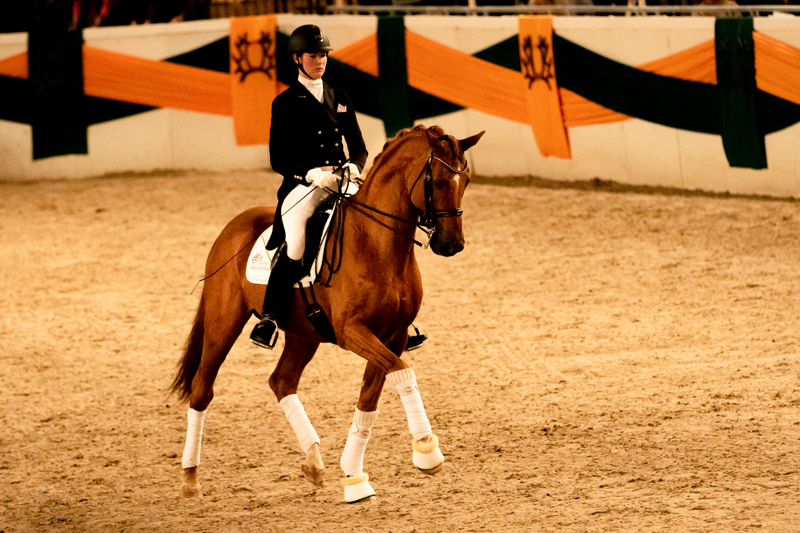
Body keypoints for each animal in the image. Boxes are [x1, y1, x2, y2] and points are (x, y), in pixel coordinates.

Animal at [166, 122, 484, 500]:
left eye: (466, 181)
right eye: (438, 183)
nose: (452, 245)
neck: (376, 243)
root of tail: (234, 225)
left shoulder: (393, 336)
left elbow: (370, 398)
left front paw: (354, 477)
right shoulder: (352, 332)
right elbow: (404, 373)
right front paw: (427, 452)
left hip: (304, 334)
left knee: (282, 381)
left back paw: (314, 462)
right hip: (223, 324)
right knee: (202, 389)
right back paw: (189, 479)